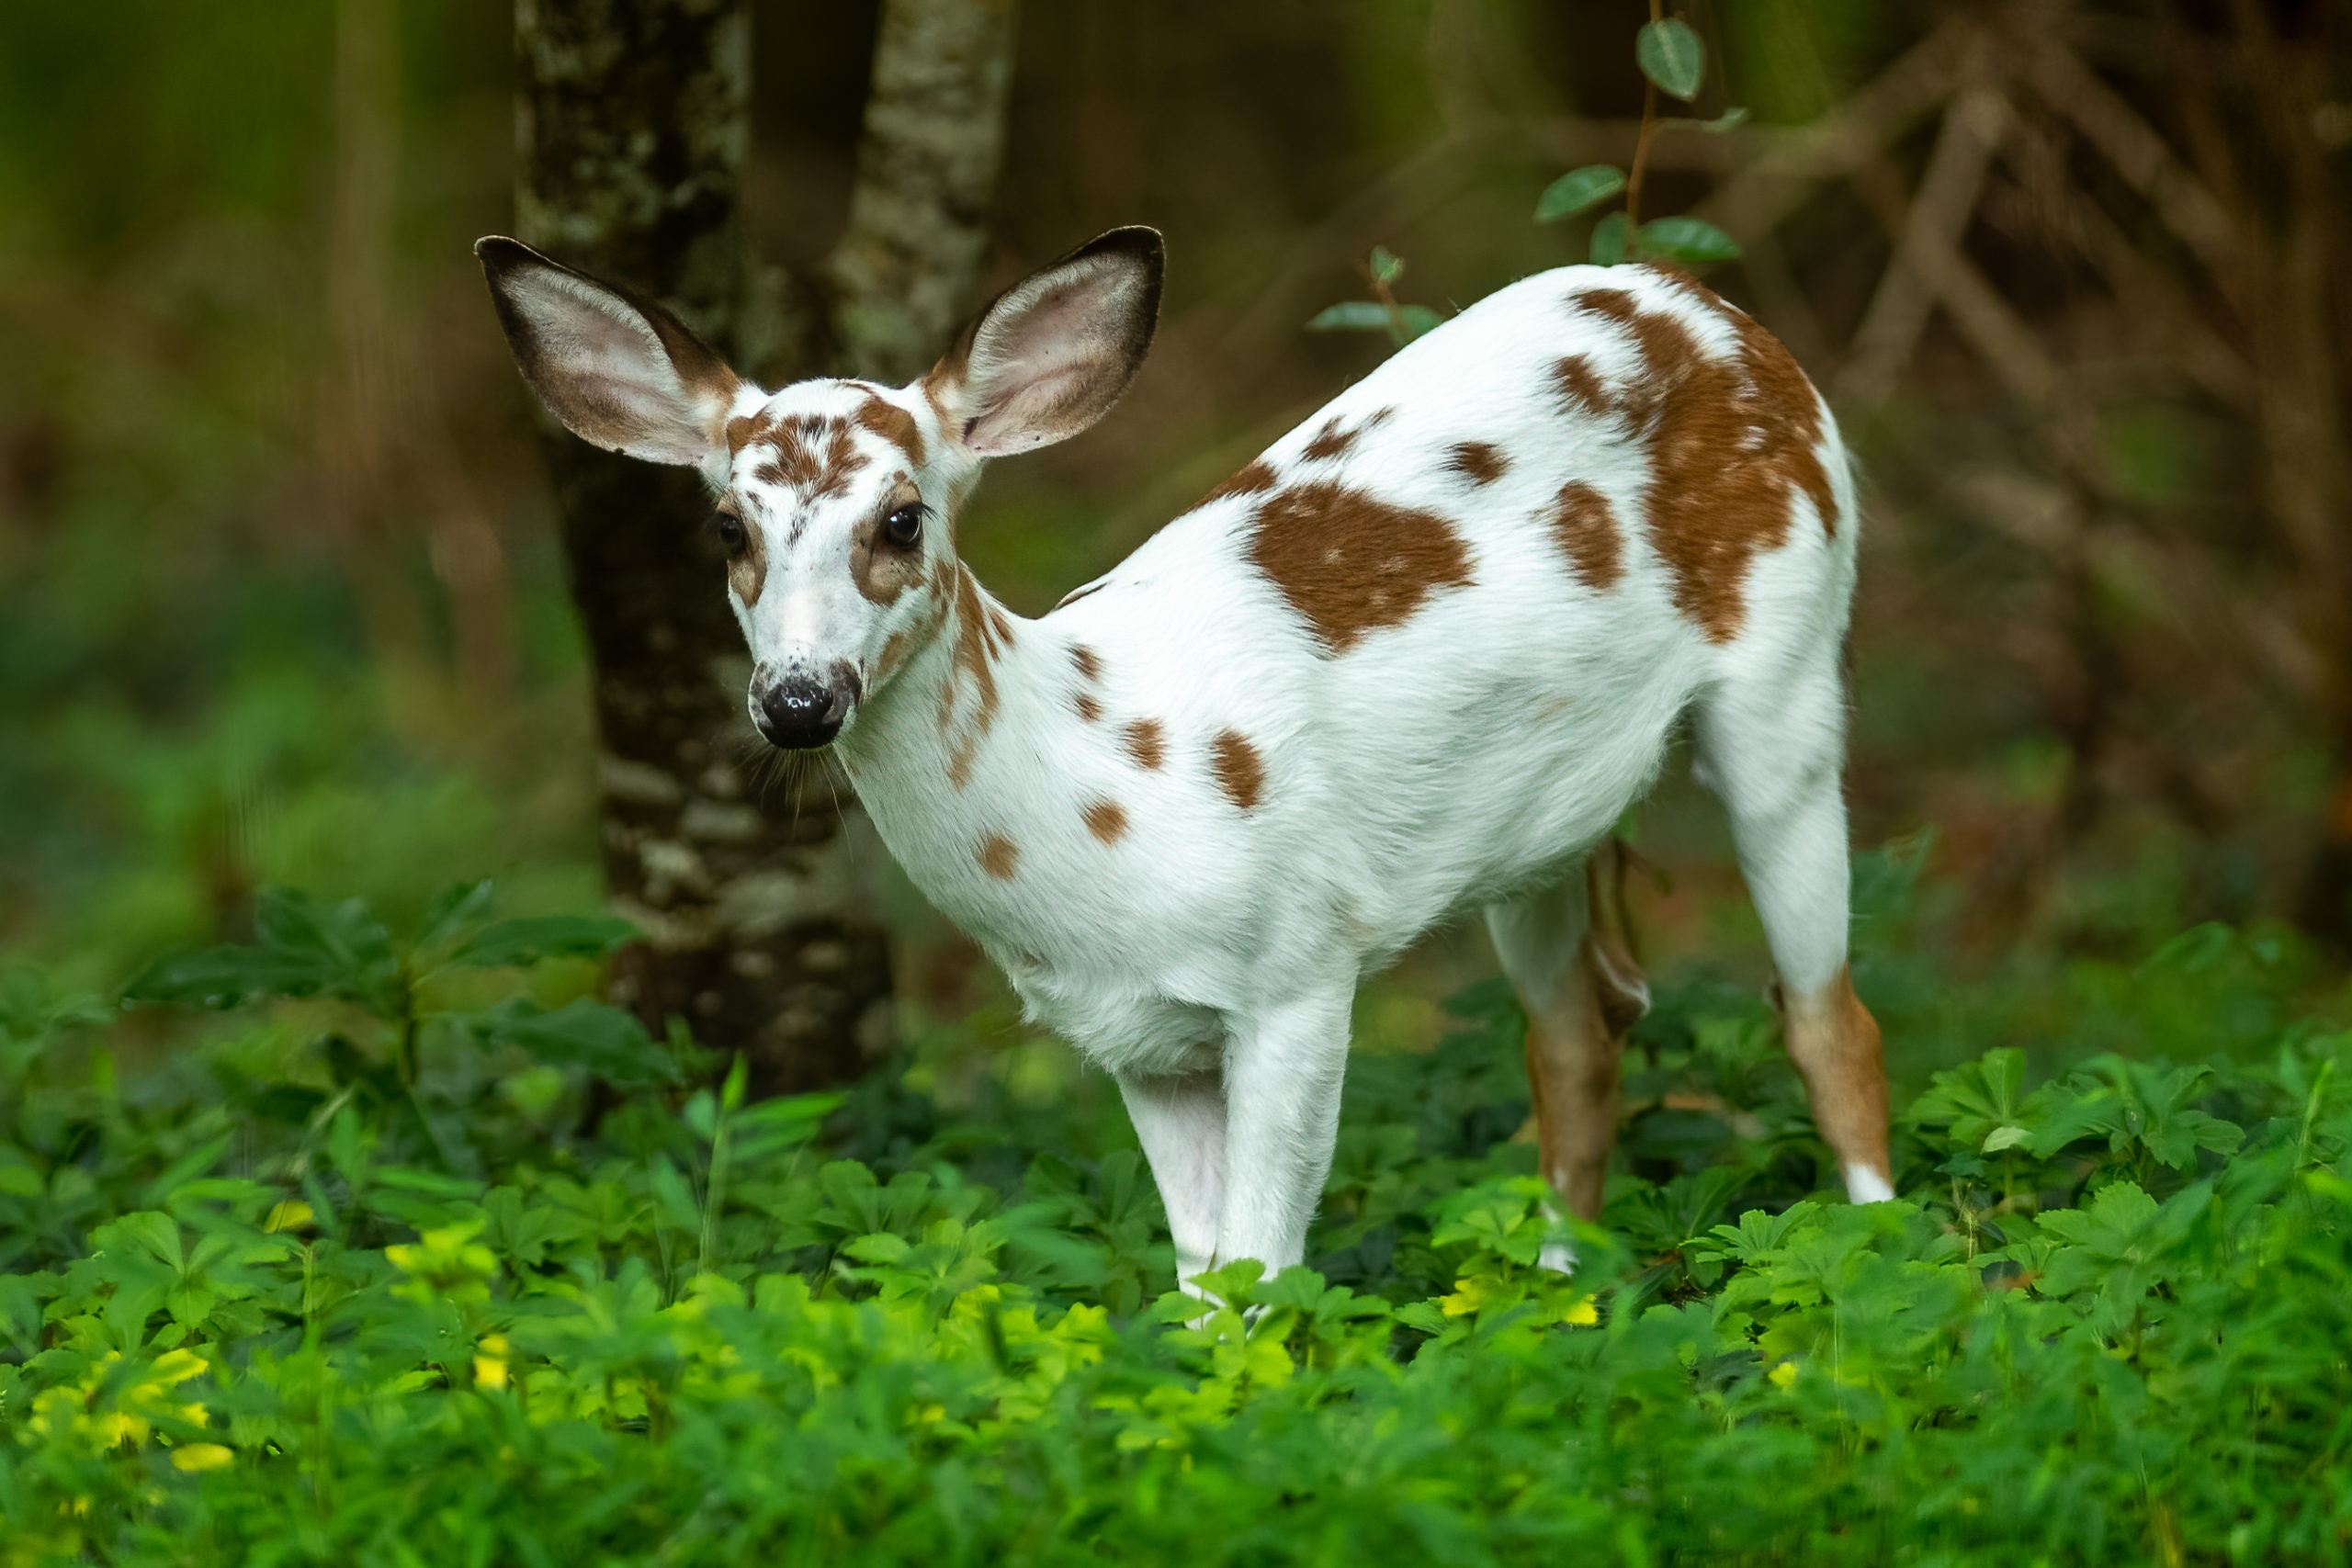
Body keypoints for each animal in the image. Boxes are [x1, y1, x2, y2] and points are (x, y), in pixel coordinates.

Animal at [477, 226, 1891, 1297]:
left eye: (902, 519)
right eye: (727, 526)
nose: (799, 698)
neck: (1100, 784)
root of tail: (1705, 307)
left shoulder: (1299, 973)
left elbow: (1264, 1273)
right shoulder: (1137, 1037)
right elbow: (1207, 1281)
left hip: (1789, 671)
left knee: (1830, 1018)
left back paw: (1881, 1265)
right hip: (1534, 826)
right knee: (1581, 1034)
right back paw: (1554, 1296)